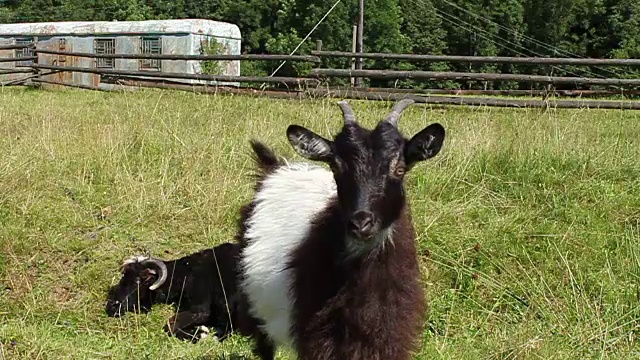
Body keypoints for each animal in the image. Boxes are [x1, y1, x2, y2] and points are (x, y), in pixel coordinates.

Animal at [105, 242, 240, 344]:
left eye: (137, 281)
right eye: (123, 277)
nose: (112, 306)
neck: (185, 271)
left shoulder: (201, 308)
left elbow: (171, 324)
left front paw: (200, 335)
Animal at [232, 99, 448, 360]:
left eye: (400, 169)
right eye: (336, 168)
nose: (361, 223)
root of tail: (276, 169)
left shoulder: (389, 335)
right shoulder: (319, 339)